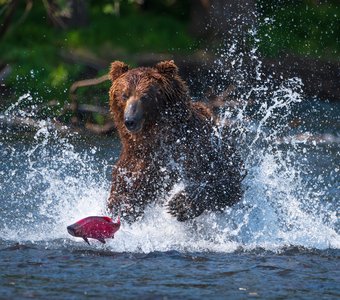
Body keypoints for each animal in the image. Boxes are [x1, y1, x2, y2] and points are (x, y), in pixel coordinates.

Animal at [106, 59, 244, 223]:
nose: (130, 121)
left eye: (145, 96)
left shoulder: (198, 148)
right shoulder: (134, 163)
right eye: (124, 95)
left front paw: (180, 204)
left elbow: (226, 180)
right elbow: (124, 194)